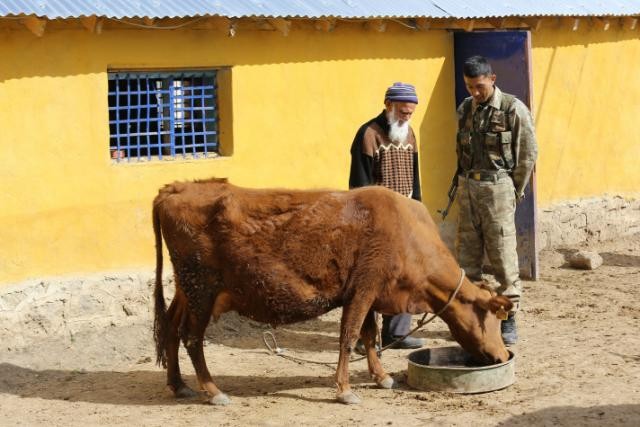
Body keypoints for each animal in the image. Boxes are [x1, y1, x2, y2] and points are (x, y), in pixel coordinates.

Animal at [154, 179, 516, 406]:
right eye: (495, 319)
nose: (502, 356)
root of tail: (177, 188)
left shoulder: (369, 292)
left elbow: (368, 335)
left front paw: (381, 377)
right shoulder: (363, 288)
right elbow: (349, 336)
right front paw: (344, 390)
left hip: (187, 290)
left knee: (170, 328)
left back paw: (178, 385)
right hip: (202, 290)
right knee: (191, 338)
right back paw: (212, 391)